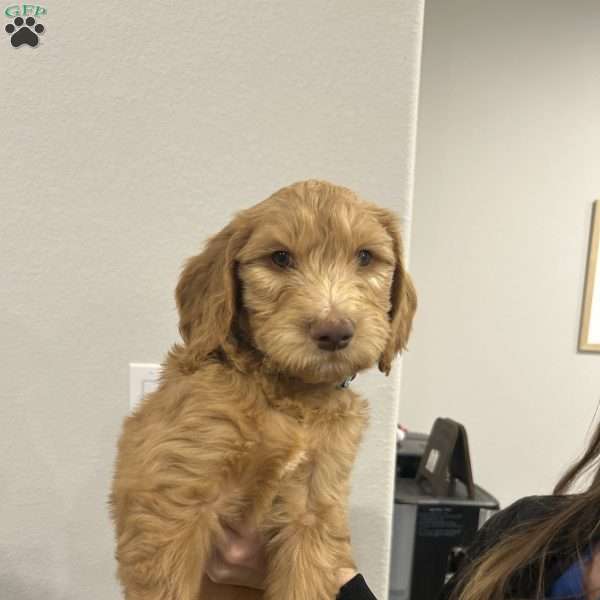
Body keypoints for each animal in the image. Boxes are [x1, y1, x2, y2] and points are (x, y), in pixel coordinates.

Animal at [109, 179, 418, 600]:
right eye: (280, 258)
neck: (291, 394)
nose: (334, 332)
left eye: (366, 257)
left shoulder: (313, 511)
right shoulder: (175, 498)